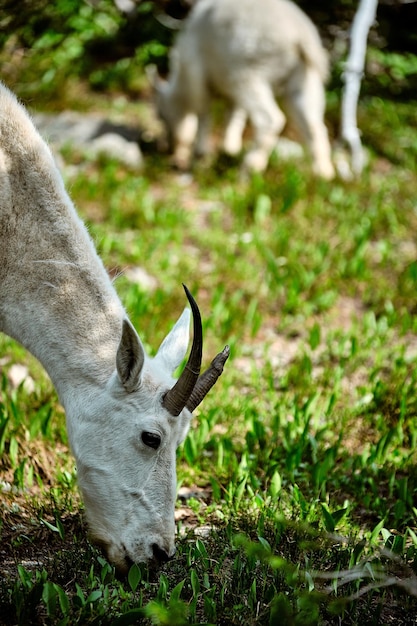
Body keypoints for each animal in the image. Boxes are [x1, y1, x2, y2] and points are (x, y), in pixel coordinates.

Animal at [151, 0, 334, 178]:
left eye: (160, 115)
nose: (168, 148)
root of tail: (301, 37)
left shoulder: (198, 75)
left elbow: (204, 114)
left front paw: (199, 157)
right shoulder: (233, 94)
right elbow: (233, 116)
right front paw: (229, 151)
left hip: (249, 71)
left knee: (270, 120)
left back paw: (249, 169)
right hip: (305, 80)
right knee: (314, 126)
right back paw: (323, 174)